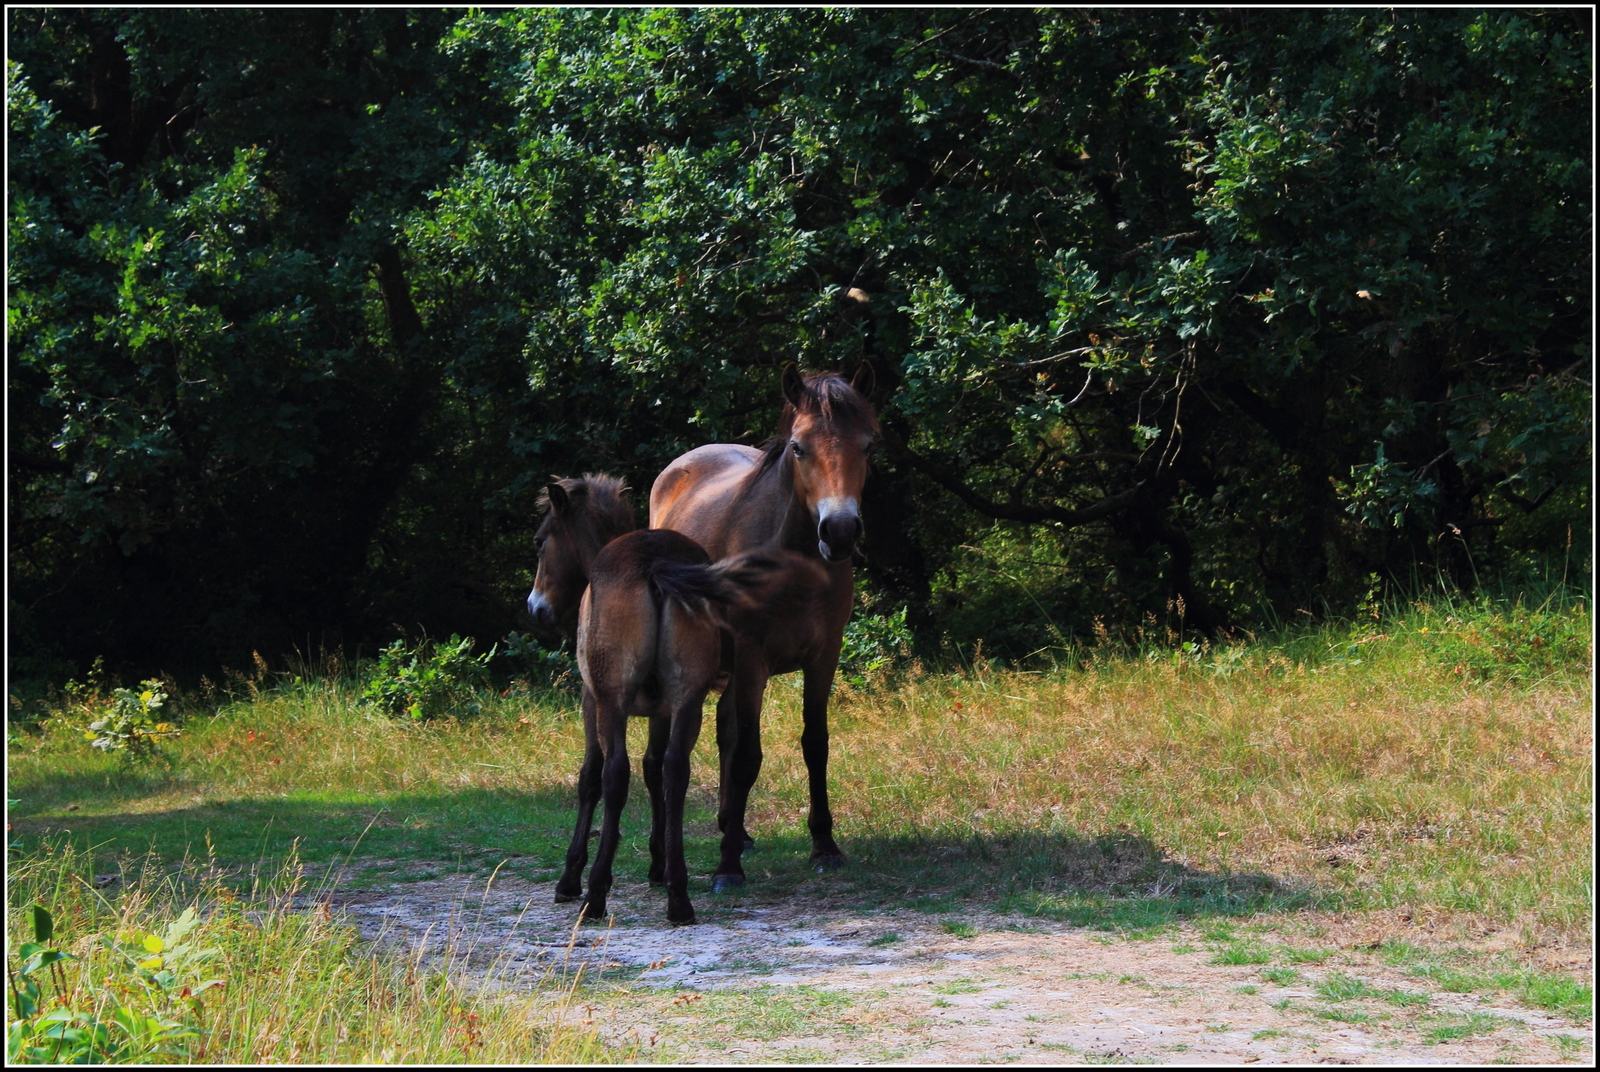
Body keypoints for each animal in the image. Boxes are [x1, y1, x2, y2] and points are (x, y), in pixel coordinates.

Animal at [648, 364, 878, 890]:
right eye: (798, 447)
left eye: (867, 445)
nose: (839, 531)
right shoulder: (753, 656)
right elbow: (748, 756)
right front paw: (727, 866)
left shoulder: (824, 656)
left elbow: (815, 744)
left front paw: (824, 845)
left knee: (724, 732)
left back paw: (735, 829)